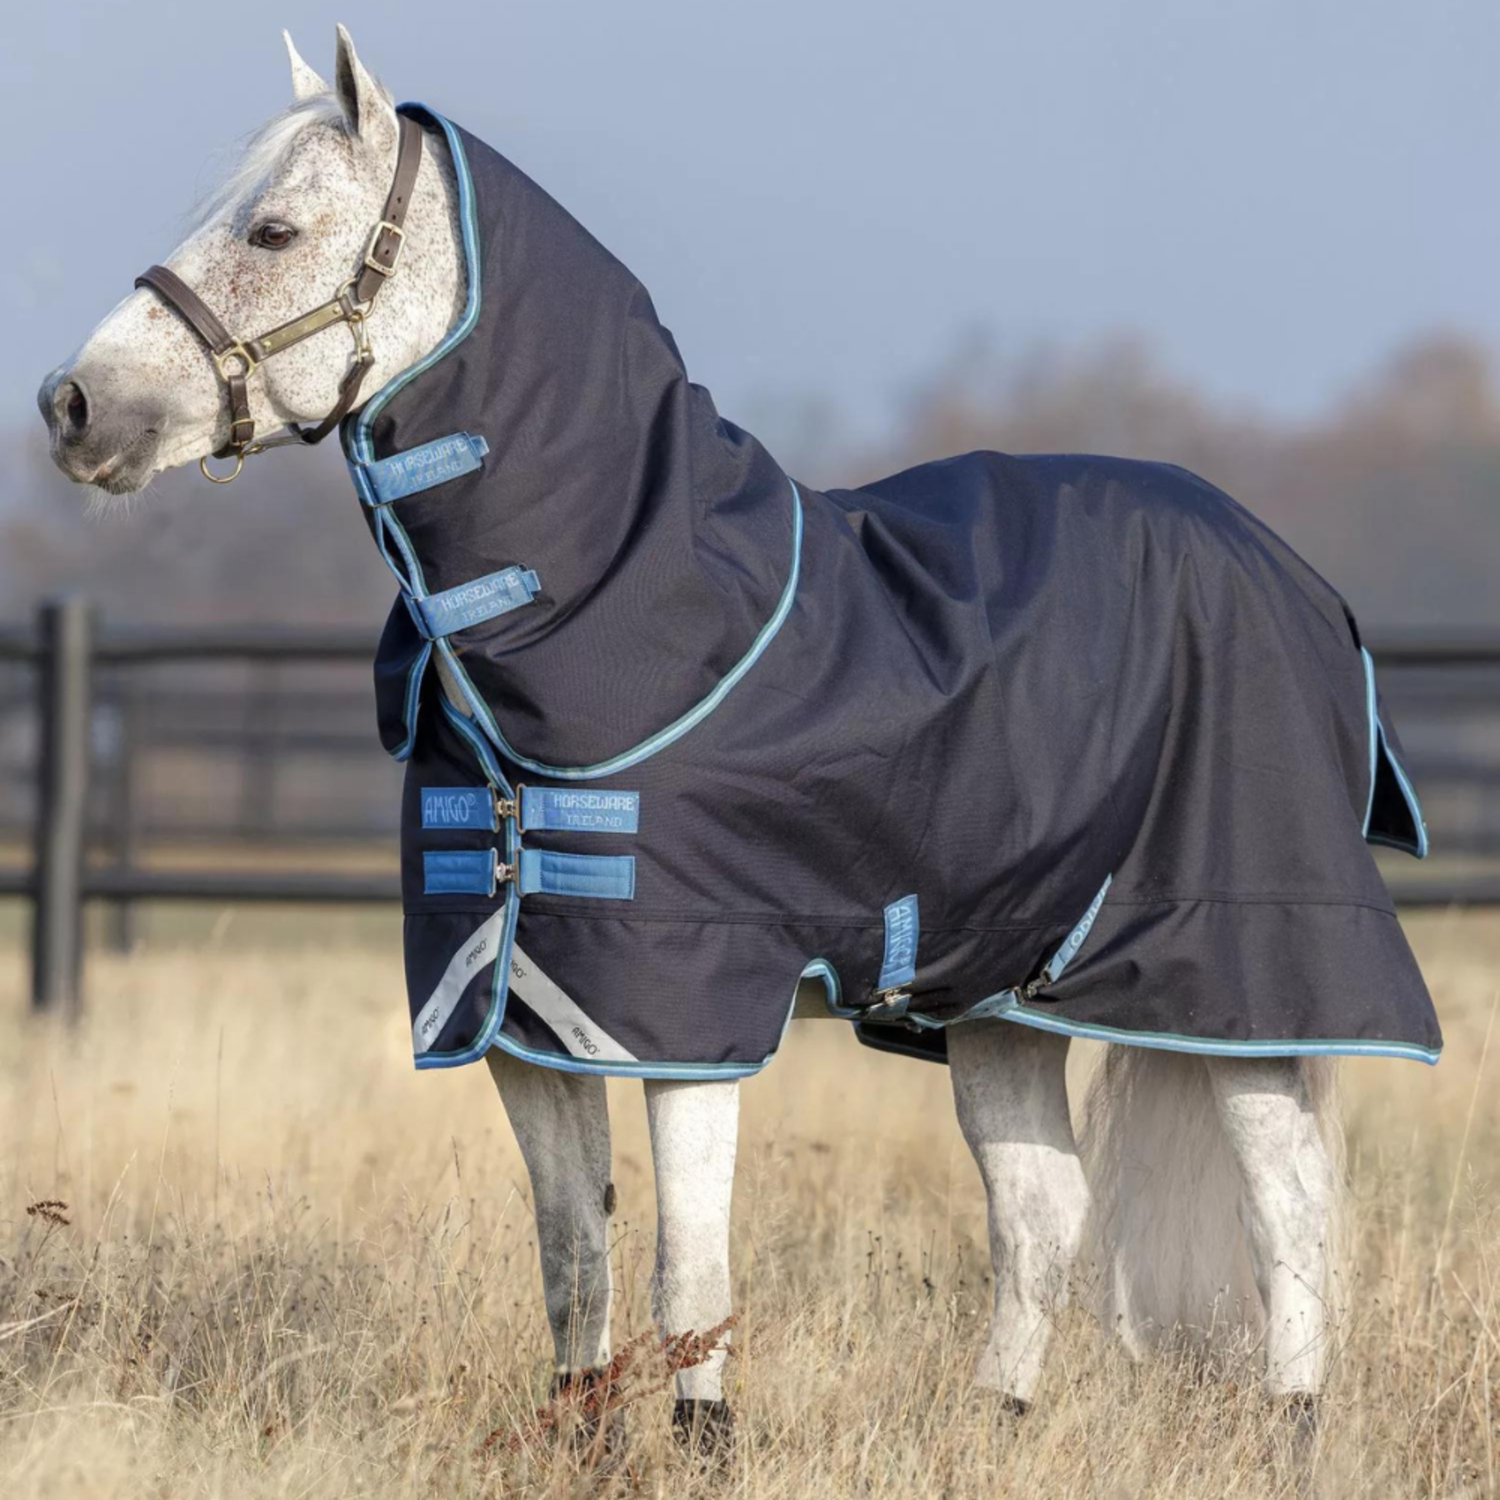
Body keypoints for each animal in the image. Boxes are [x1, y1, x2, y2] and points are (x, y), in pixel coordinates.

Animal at [38, 26, 1439, 1456]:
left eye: (272, 231)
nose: (73, 405)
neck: (637, 607)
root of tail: (1293, 575)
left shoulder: (686, 1012)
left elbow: (688, 1272)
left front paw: (703, 1445)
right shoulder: (524, 1016)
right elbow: (571, 1254)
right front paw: (584, 1442)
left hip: (1251, 977)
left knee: (1290, 1207)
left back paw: (1293, 1429)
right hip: (1003, 995)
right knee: (1041, 1211)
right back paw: (998, 1423)